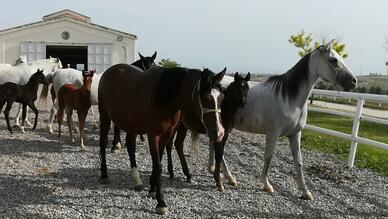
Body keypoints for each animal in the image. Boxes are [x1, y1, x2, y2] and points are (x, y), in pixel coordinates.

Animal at [98, 64, 226, 214]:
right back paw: (104, 174)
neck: (163, 98)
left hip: (131, 124)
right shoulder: (153, 135)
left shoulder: (167, 134)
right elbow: (158, 165)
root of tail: (110, 70)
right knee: (103, 142)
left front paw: (152, 189)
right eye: (206, 98)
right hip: (105, 115)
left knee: (130, 146)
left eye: (222, 98)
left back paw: (137, 180)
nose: (219, 133)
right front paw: (161, 202)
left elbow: (158, 160)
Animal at [209, 40, 358, 199]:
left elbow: (298, 161)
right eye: (333, 60)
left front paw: (305, 191)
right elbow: (268, 157)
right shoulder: (273, 134)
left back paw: (216, 171)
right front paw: (266, 185)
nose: (353, 81)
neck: (288, 98)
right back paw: (229, 177)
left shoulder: (295, 134)